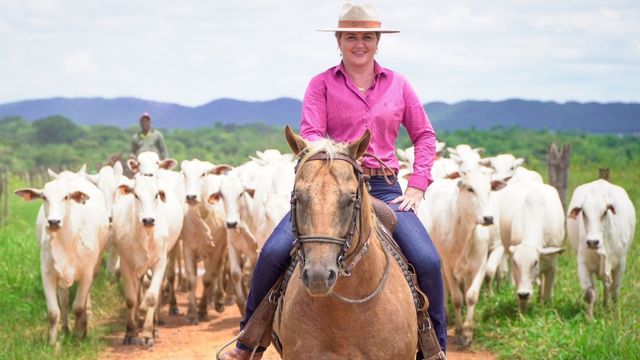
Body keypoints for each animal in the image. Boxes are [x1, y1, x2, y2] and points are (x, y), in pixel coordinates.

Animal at [14, 170, 109, 348]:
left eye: (66, 197)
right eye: (44, 197)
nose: (53, 222)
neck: (66, 242)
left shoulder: (86, 272)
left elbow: (78, 307)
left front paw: (78, 336)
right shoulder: (48, 273)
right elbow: (53, 312)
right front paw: (53, 343)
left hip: (95, 266)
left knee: (85, 300)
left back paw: (85, 323)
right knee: (64, 300)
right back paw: (65, 329)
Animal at [418, 170, 508, 348]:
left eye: (489, 189)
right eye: (470, 188)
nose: (488, 218)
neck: (465, 234)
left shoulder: (480, 265)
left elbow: (471, 296)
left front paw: (467, 333)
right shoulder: (447, 266)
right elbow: (457, 298)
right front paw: (459, 329)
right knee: (445, 290)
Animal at [568, 179, 636, 320]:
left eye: (605, 212)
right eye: (583, 213)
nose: (593, 242)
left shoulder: (621, 264)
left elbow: (614, 292)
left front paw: (614, 315)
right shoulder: (583, 264)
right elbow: (589, 294)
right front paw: (589, 318)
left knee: (607, 287)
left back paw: (606, 307)